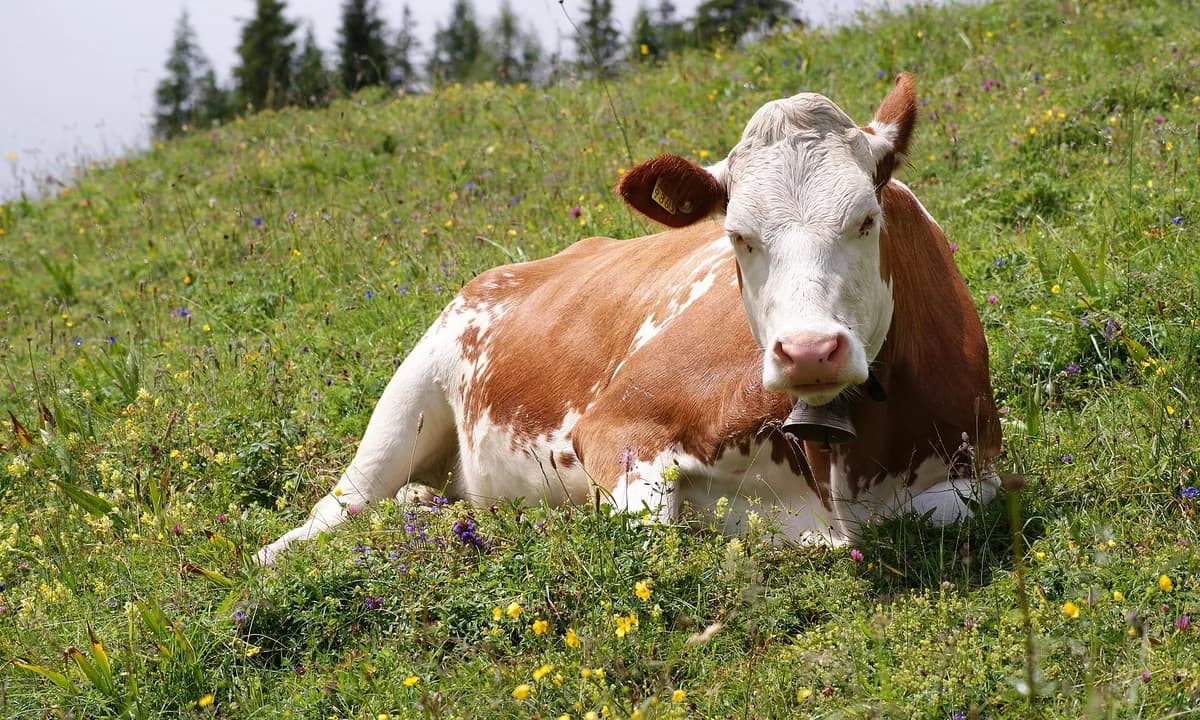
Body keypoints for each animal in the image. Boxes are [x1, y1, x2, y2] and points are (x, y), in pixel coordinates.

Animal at [257, 73, 1002, 566]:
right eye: (737, 236)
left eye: (866, 219)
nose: (809, 350)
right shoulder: (616, 426)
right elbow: (652, 529)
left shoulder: (980, 468)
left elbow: (947, 510)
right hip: (411, 391)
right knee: (341, 505)